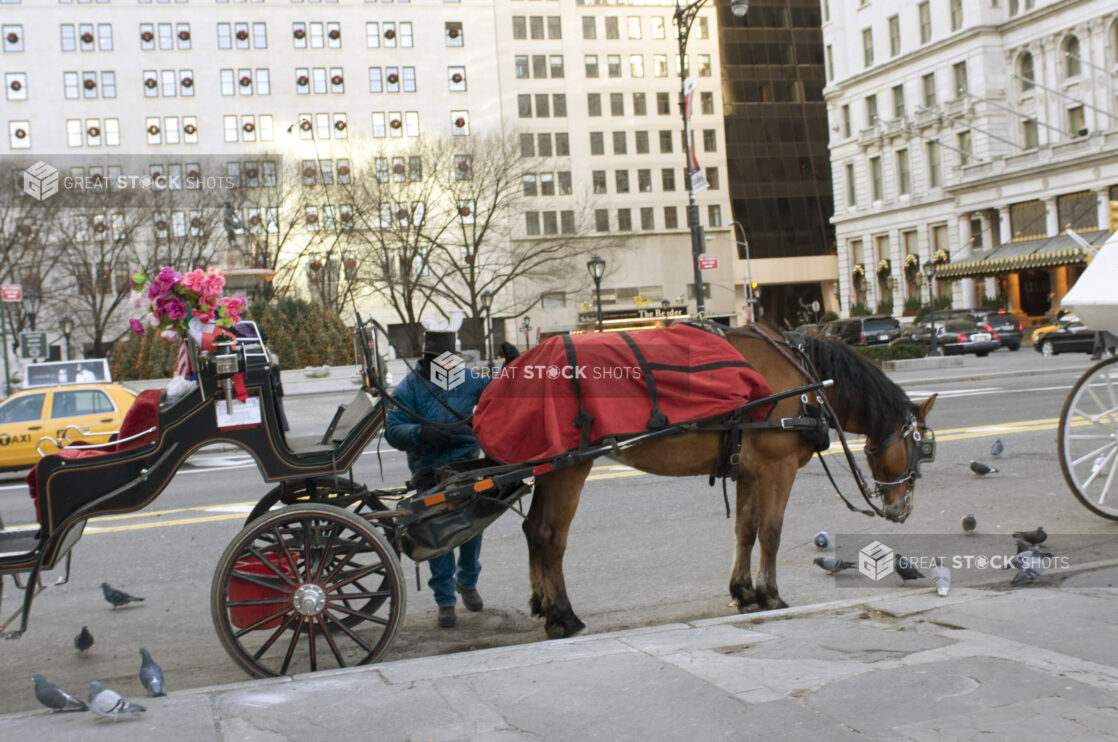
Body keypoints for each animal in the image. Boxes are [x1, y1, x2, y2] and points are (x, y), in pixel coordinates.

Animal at [516, 324, 934, 639]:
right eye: (921, 445)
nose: (903, 507)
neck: (806, 382)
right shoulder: (778, 468)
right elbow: (771, 532)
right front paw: (771, 594)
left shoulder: (749, 471)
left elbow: (745, 530)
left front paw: (744, 592)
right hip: (567, 468)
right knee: (550, 536)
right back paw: (563, 615)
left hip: (546, 472)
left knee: (532, 529)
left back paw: (542, 604)